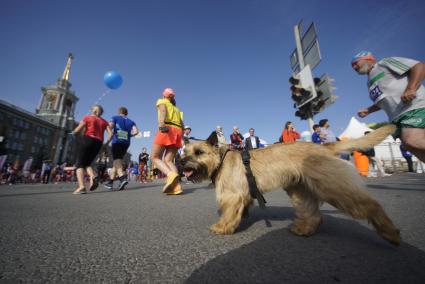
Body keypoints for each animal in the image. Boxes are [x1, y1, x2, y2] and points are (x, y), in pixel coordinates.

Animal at [182, 125, 400, 245]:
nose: (182, 161)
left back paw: (390, 232)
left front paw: (222, 227)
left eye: (199, 152)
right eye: (184, 152)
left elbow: (228, 212)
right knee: (313, 214)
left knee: (370, 204)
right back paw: (304, 229)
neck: (220, 159)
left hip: (332, 185)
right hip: (300, 190)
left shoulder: (232, 195)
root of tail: (324, 147)